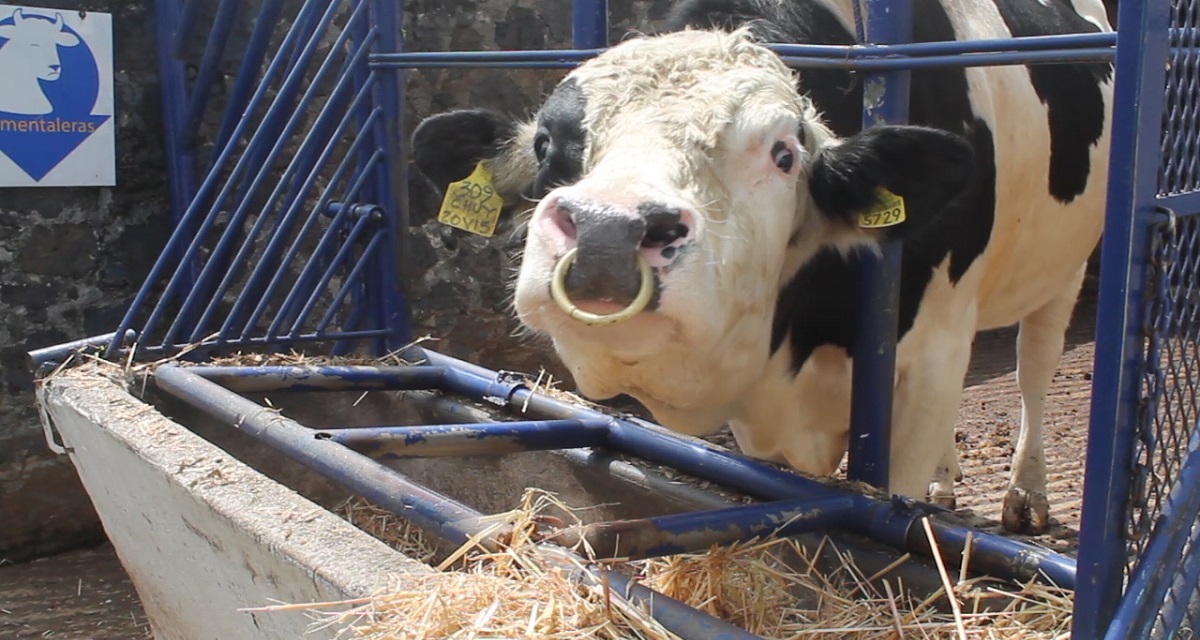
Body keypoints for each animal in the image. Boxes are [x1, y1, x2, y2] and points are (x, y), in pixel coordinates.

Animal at [412, 0, 1113, 530]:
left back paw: (1027, 495)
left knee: (1034, 364)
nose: (608, 231)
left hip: (1065, 266)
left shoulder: (930, 361)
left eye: (784, 155)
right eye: (545, 143)